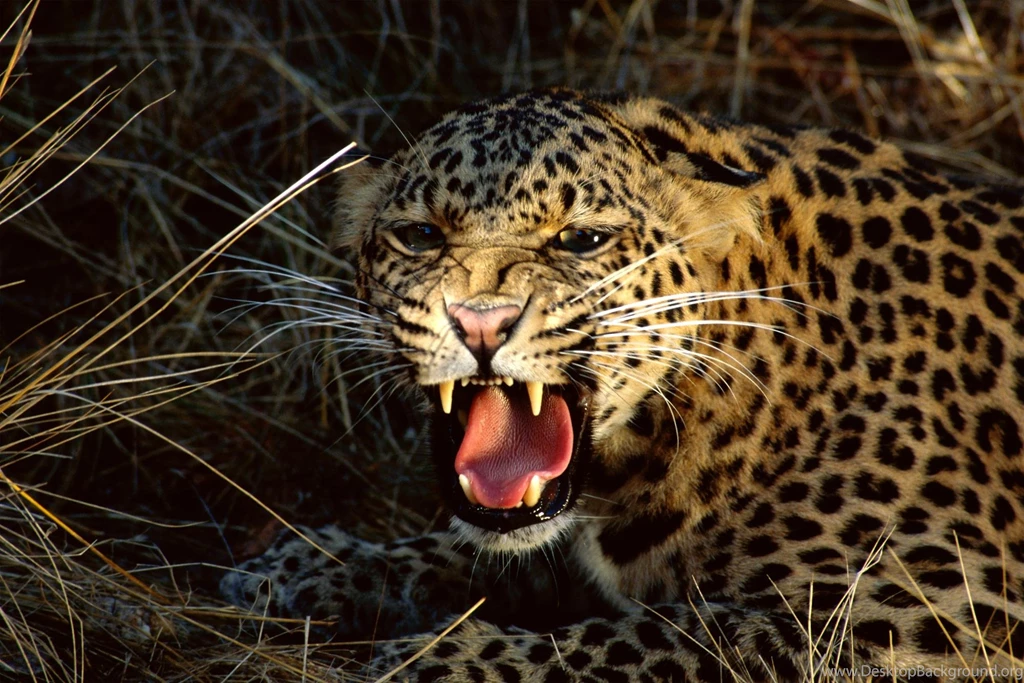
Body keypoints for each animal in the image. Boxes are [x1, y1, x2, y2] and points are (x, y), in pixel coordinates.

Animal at [221, 88, 1024, 682]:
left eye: (582, 240)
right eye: (421, 237)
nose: (480, 322)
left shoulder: (943, 607)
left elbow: (678, 634)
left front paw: (435, 659)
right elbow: (486, 552)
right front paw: (314, 564)